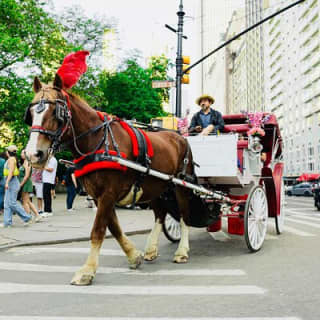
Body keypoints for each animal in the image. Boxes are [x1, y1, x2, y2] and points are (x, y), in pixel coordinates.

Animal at [25, 74, 194, 284]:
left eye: (57, 113)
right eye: (31, 113)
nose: (33, 154)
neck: (98, 141)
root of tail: (180, 136)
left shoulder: (108, 193)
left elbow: (98, 230)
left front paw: (87, 271)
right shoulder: (100, 196)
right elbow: (114, 228)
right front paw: (133, 256)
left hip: (181, 185)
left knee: (184, 215)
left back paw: (182, 251)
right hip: (155, 187)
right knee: (161, 215)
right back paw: (151, 249)